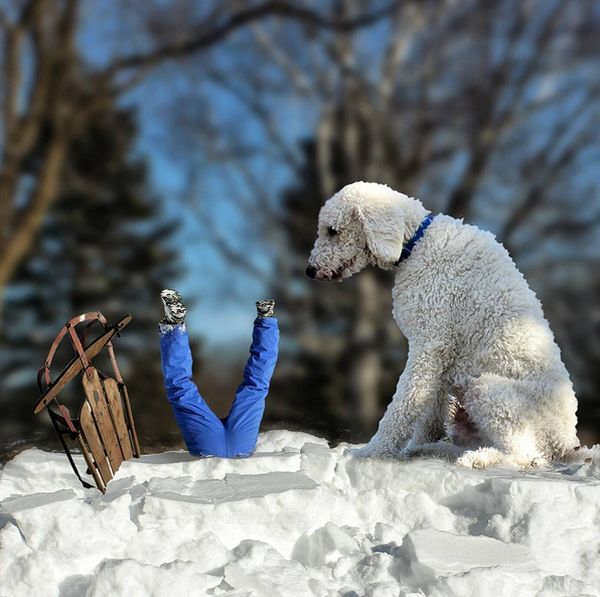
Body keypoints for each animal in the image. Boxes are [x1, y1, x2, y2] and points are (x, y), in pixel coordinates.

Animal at [308, 179, 580, 468]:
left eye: (332, 231)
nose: (309, 270)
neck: (417, 243)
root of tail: (566, 442)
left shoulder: (429, 342)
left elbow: (405, 403)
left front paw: (373, 451)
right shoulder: (441, 356)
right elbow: (430, 410)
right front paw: (419, 443)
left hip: (488, 390)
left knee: (527, 457)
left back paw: (478, 459)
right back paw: (433, 450)